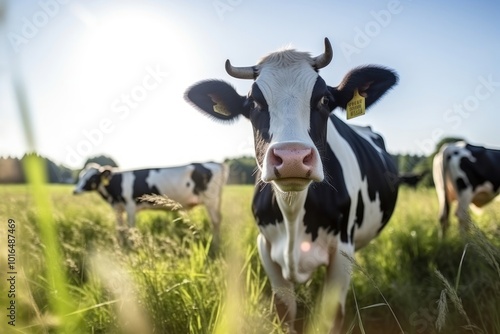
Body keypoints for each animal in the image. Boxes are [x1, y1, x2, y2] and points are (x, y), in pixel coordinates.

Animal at [73, 162, 229, 245]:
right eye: (81, 176)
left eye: (92, 178)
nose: (75, 191)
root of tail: (215, 163)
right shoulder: (118, 208)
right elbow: (120, 228)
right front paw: (121, 243)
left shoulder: (130, 206)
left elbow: (130, 228)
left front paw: (131, 245)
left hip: (211, 200)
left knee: (215, 221)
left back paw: (216, 243)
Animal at [184, 37, 398, 332]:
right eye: (253, 103)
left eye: (324, 99)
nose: (292, 158)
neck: (293, 216)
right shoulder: (265, 247)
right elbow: (286, 312)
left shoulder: (342, 250)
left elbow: (332, 316)